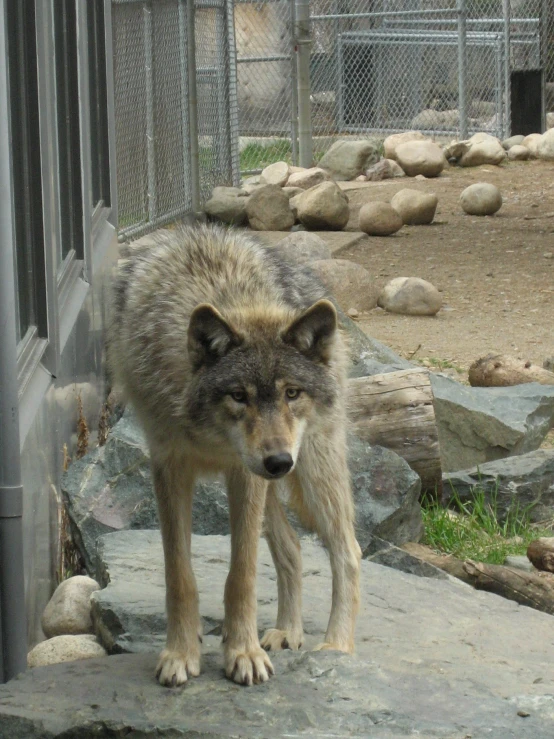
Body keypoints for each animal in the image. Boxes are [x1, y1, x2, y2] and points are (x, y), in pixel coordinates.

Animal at [108, 225, 360, 688]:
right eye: (239, 396)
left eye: (291, 393)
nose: (279, 462)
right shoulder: (170, 467)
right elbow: (179, 574)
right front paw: (180, 653)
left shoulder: (246, 476)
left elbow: (241, 574)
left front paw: (243, 652)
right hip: (279, 483)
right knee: (293, 547)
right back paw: (287, 631)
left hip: (313, 468)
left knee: (347, 551)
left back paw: (336, 646)